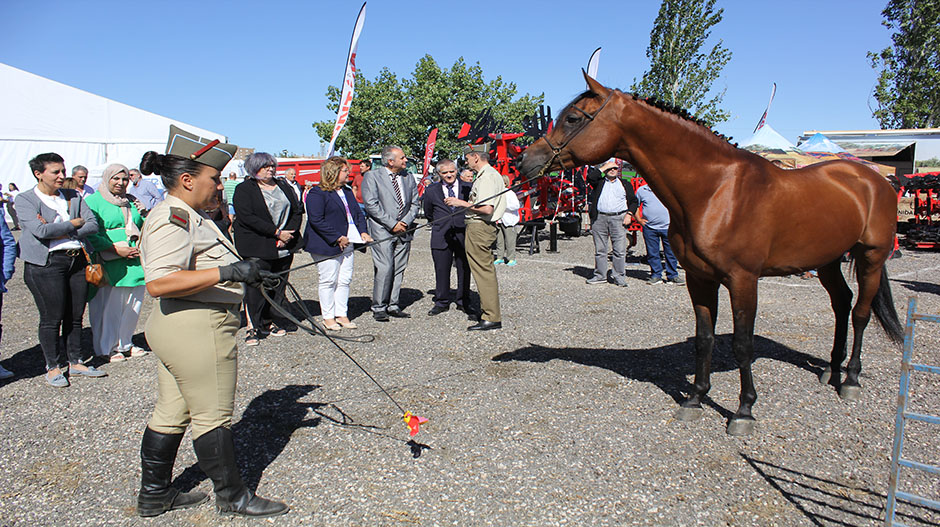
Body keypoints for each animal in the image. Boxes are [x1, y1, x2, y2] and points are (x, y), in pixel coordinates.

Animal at [516, 74, 908, 438]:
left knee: (860, 313)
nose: (525, 160)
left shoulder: (743, 280)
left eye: (573, 118)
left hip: (871, 257)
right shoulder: (699, 278)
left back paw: (851, 379)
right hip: (827, 259)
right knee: (842, 303)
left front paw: (744, 411)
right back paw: (831, 368)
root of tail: (872, 178)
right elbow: (704, 339)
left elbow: (742, 344)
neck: (716, 190)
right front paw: (695, 398)